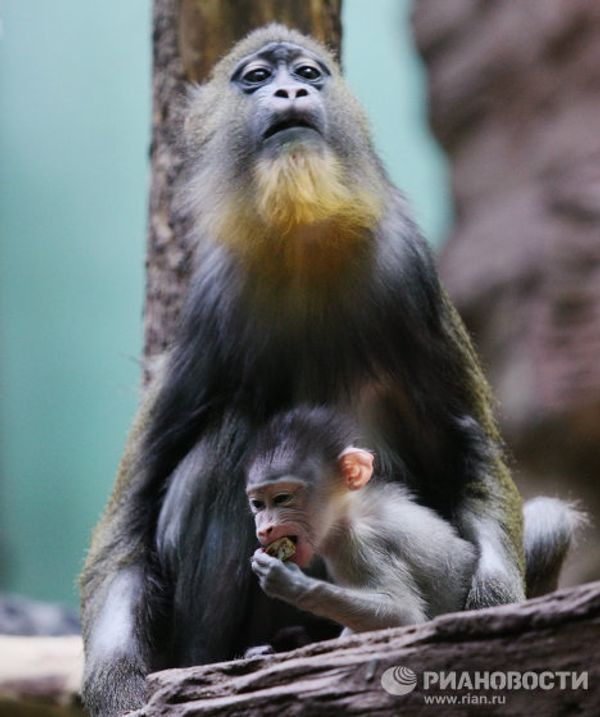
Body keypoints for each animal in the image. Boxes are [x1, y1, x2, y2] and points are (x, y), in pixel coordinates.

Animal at [247, 407, 478, 633]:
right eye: (258, 504)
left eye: (282, 498)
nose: (264, 529)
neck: (345, 515)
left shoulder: (360, 542)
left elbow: (404, 614)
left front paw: (290, 582)